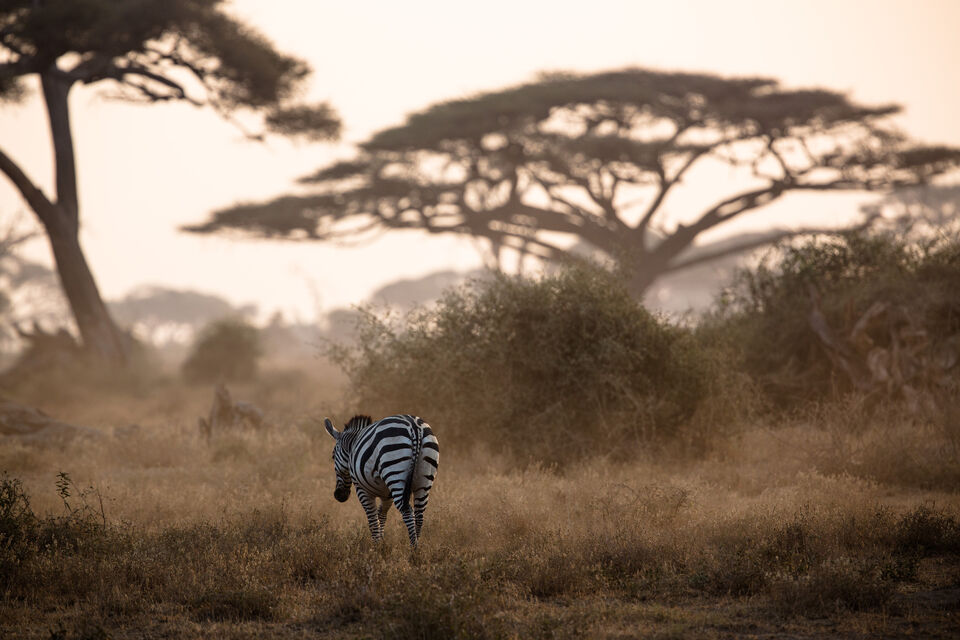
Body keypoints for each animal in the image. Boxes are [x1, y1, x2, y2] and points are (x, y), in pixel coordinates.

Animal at [324, 414, 439, 546]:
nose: (339, 496)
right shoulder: (387, 495)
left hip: (394, 470)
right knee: (419, 515)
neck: (353, 444)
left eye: (333, 456)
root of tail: (414, 427)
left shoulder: (362, 490)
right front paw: (382, 543)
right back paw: (417, 544)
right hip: (424, 480)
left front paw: (376, 546)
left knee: (407, 511)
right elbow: (381, 516)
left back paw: (413, 548)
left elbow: (373, 520)